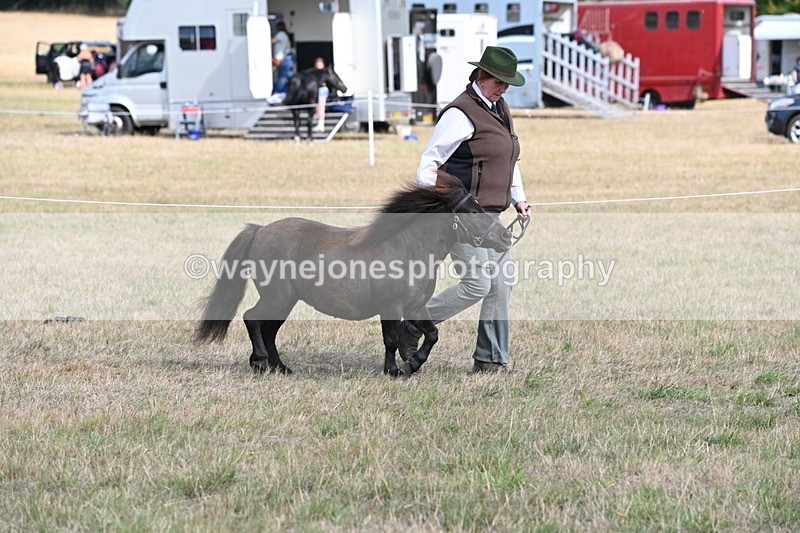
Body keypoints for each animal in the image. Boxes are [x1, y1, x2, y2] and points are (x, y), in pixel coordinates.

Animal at [194, 176, 513, 378]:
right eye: (473, 210)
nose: (506, 236)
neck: (406, 248)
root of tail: (259, 230)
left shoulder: (415, 307)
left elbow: (432, 333)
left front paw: (413, 363)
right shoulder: (391, 307)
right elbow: (391, 339)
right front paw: (395, 370)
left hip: (285, 301)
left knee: (268, 329)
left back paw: (280, 368)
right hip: (276, 297)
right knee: (252, 319)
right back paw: (261, 363)